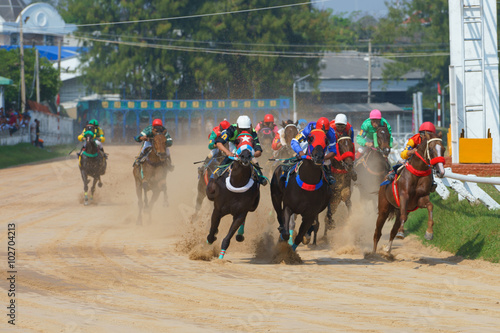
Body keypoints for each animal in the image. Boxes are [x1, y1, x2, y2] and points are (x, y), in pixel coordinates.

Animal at [207, 132, 262, 260]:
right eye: (237, 141)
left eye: (252, 141)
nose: (245, 156)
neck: (237, 183)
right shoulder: (217, 210)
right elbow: (211, 232)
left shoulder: (240, 213)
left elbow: (228, 237)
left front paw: (221, 257)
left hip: (252, 206)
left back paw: (240, 235)